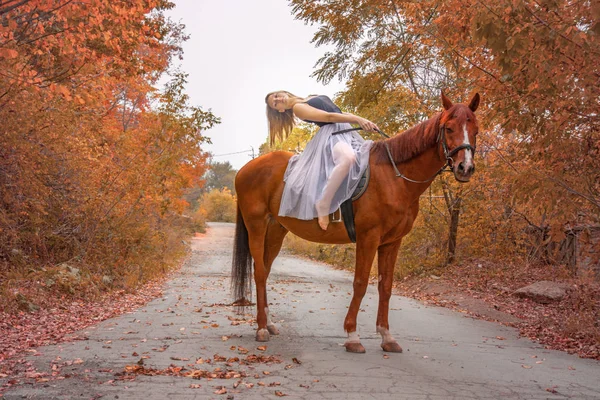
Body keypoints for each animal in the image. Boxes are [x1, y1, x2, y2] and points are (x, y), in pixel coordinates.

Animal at [232, 91, 480, 354]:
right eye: (449, 128)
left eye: (475, 129)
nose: (465, 168)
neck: (394, 177)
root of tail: (245, 169)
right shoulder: (368, 238)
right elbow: (360, 283)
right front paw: (352, 336)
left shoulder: (392, 242)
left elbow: (386, 286)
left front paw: (387, 337)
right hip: (256, 225)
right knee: (259, 272)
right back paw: (260, 329)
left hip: (276, 230)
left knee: (265, 270)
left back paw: (268, 324)